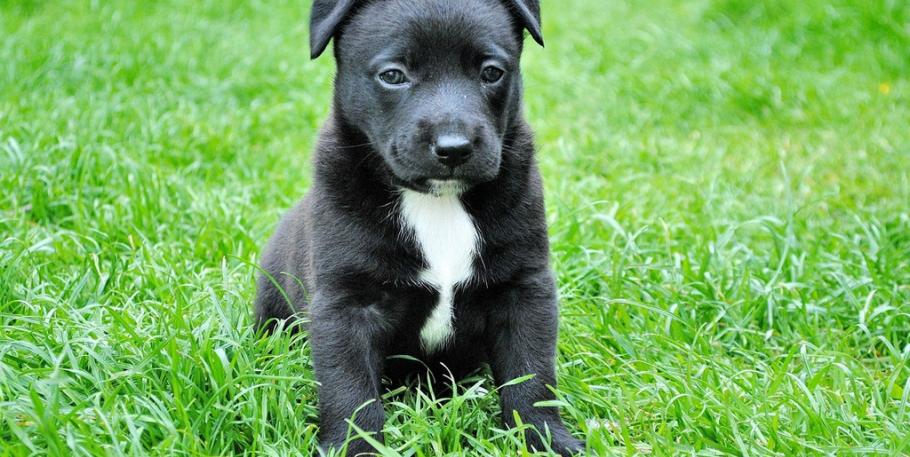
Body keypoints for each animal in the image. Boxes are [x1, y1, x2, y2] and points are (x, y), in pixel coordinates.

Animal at [255, 0, 584, 452]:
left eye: (491, 72)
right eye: (393, 75)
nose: (454, 148)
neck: (437, 202)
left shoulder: (523, 287)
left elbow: (531, 373)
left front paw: (545, 437)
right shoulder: (346, 303)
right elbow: (349, 388)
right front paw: (357, 446)